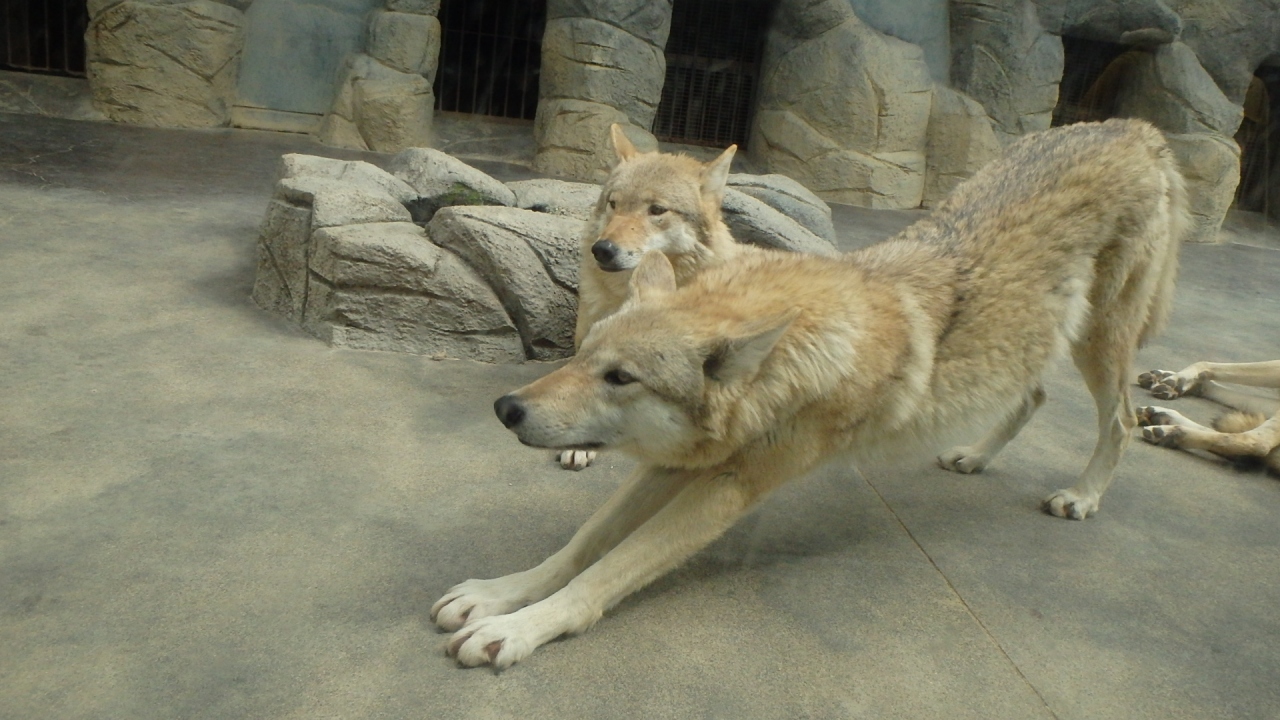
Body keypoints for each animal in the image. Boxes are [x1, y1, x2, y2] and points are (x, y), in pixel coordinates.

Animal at [437, 119, 1187, 666]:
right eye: (586, 355)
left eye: (621, 378)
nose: (506, 408)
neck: (791, 360)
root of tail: (1135, 127)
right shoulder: (678, 465)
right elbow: (579, 546)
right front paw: (497, 597)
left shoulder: (728, 486)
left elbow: (604, 572)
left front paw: (520, 630)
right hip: (1036, 343)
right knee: (1032, 399)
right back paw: (973, 456)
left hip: (1102, 345)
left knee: (1121, 421)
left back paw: (1082, 496)